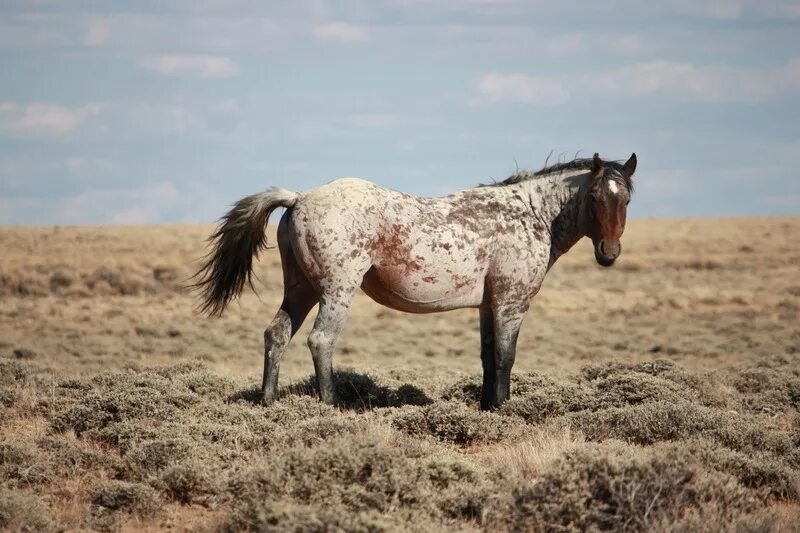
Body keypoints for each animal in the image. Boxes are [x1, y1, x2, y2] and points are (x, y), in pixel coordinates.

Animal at [194, 152, 636, 410]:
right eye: (595, 196)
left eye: (627, 198)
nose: (609, 253)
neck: (530, 213)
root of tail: (299, 197)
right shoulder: (511, 303)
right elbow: (506, 357)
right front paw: (503, 409)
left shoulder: (487, 306)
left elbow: (487, 357)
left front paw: (487, 409)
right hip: (336, 292)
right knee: (320, 341)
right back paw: (331, 406)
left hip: (300, 290)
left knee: (277, 334)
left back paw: (268, 404)